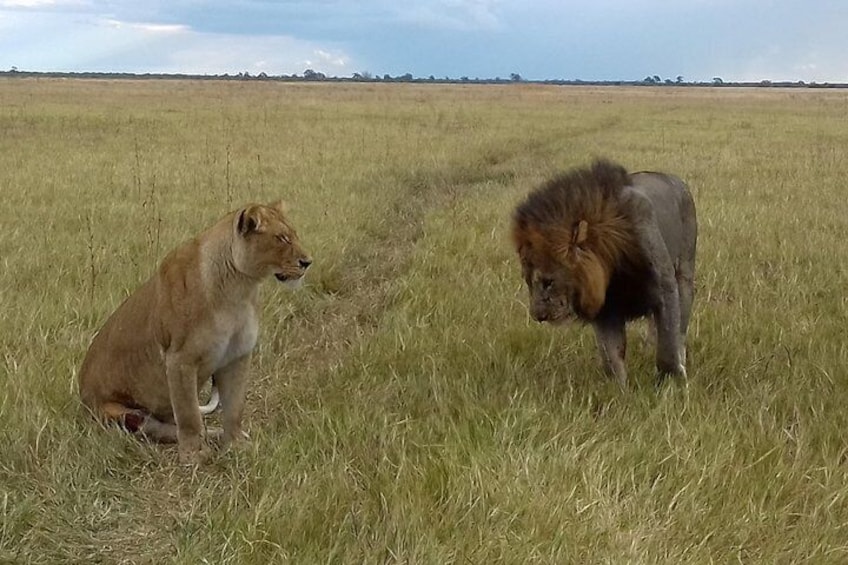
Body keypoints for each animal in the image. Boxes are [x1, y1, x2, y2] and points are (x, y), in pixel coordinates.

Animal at [78, 202, 312, 462]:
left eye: (294, 235)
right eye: (282, 238)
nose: (307, 262)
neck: (239, 288)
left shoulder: (238, 356)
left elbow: (234, 407)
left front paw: (235, 443)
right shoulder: (180, 361)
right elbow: (189, 414)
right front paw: (194, 455)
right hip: (119, 412)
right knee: (157, 427)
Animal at [510, 159, 696, 386]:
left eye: (548, 281)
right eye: (527, 282)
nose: (538, 316)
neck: (613, 267)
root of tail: (676, 179)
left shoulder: (664, 289)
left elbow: (667, 347)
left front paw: (672, 381)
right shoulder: (606, 308)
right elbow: (611, 356)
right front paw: (619, 390)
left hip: (685, 272)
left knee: (680, 325)